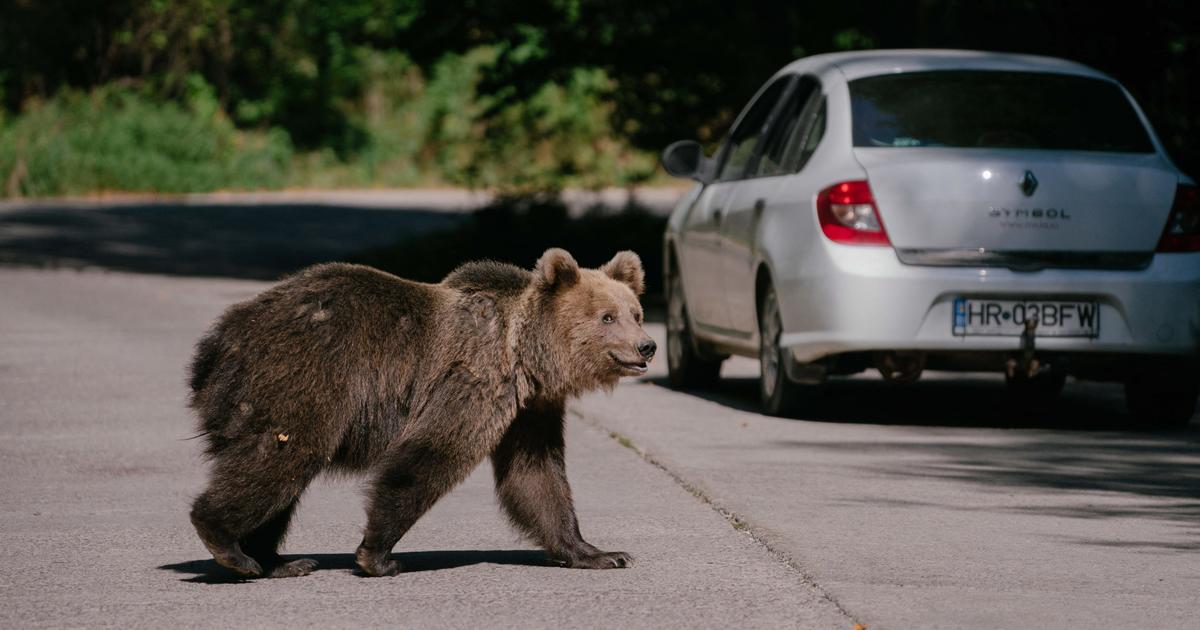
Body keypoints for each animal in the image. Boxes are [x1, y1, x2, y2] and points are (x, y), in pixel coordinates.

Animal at [186, 248, 655, 578]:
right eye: (607, 317)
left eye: (635, 313)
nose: (647, 345)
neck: (525, 357)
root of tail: (218, 341)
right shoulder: (473, 379)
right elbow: (431, 454)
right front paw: (377, 556)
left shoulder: (528, 411)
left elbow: (536, 475)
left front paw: (600, 553)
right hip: (303, 376)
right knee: (281, 457)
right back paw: (229, 545)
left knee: (281, 475)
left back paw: (277, 560)